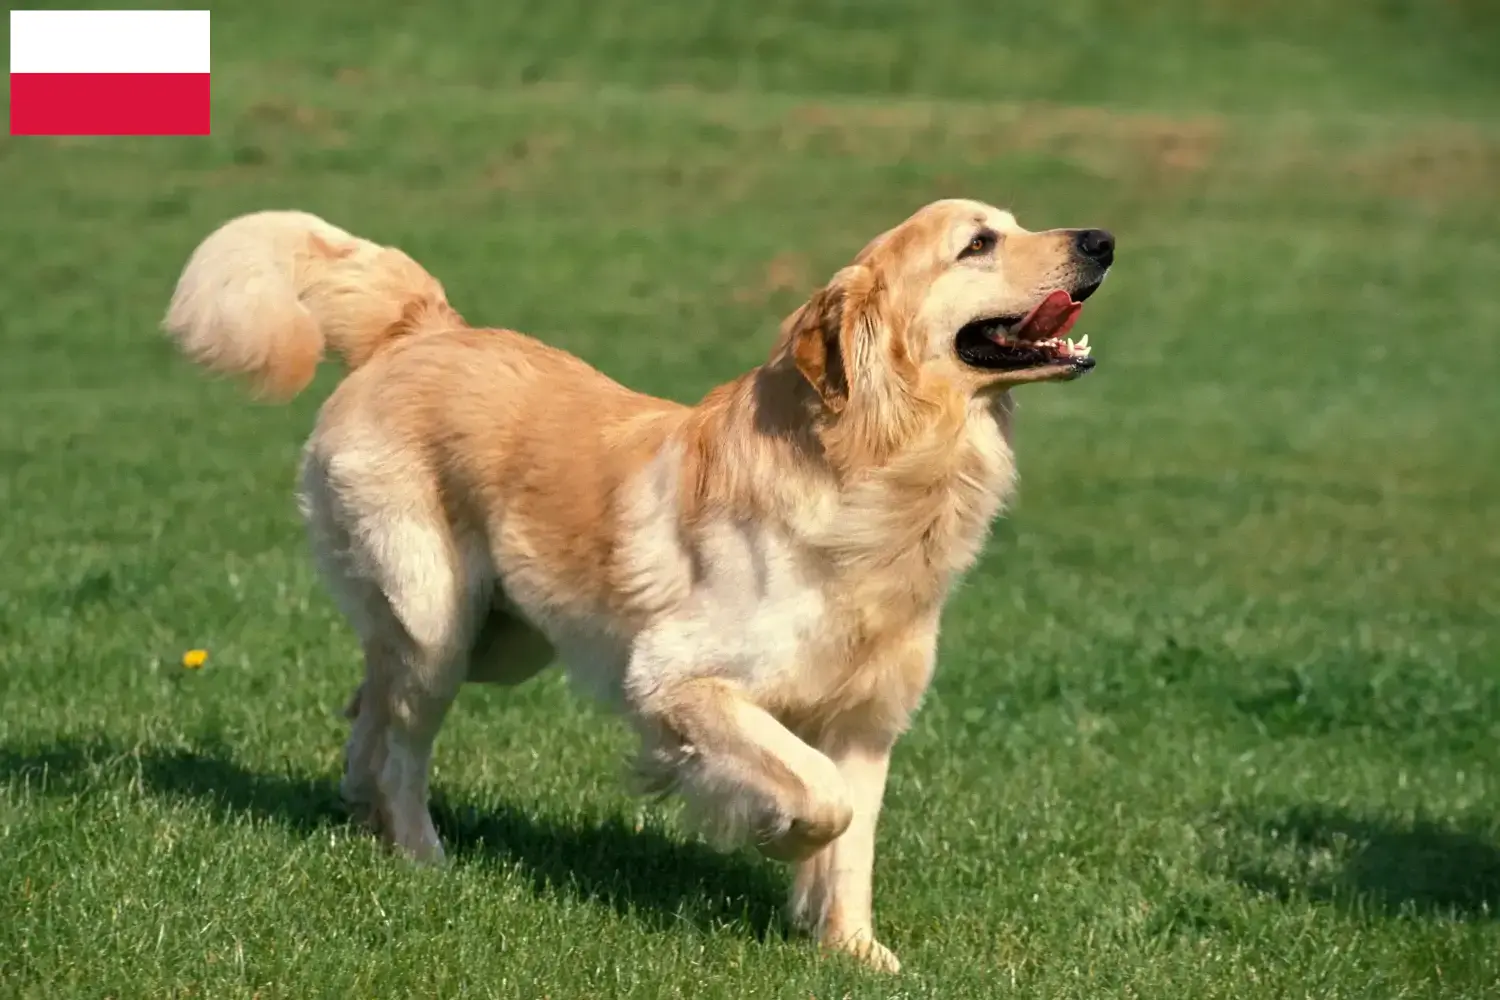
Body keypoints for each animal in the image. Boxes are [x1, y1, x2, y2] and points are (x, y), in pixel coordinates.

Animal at [161, 199, 1116, 971]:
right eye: (979, 243)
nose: (1102, 240)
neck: (879, 469)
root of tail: (421, 328)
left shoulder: (866, 721)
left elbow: (853, 845)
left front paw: (853, 953)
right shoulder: (675, 678)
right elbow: (823, 800)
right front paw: (774, 835)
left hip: (495, 641)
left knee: (370, 706)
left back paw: (367, 823)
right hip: (441, 625)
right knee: (403, 744)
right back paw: (424, 855)